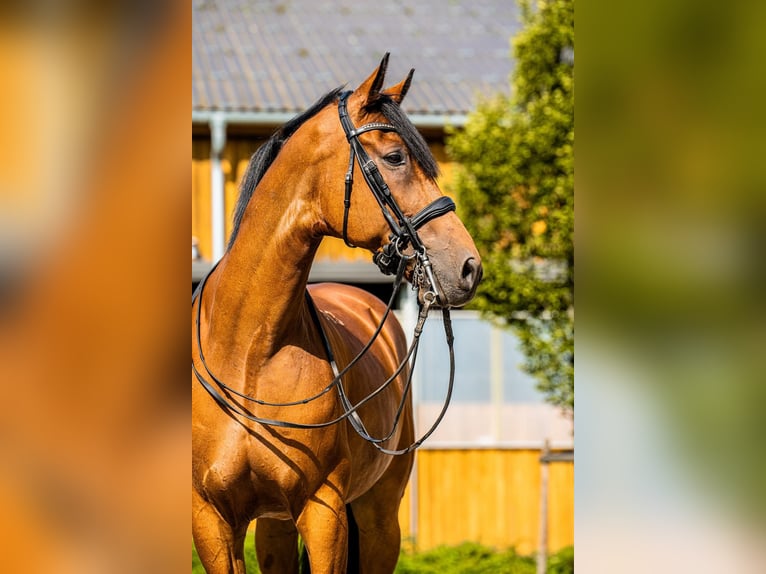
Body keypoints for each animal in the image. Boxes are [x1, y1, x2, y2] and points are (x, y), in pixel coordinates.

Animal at [191, 55, 484, 574]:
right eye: (395, 157)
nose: (469, 267)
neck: (248, 351)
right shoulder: (211, 519)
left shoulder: (323, 512)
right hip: (275, 525)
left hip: (378, 517)